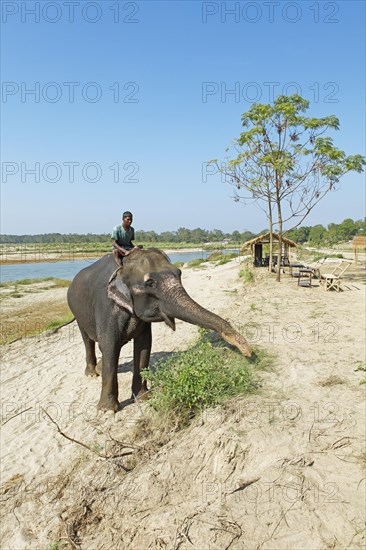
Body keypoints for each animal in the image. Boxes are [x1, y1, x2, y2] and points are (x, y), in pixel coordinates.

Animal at [67, 248, 252, 412]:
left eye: (179, 274)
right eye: (150, 283)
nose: (249, 352)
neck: (124, 265)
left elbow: (144, 346)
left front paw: (143, 397)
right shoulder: (106, 305)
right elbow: (109, 345)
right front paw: (107, 411)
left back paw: (98, 369)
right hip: (76, 312)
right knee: (88, 340)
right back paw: (92, 373)